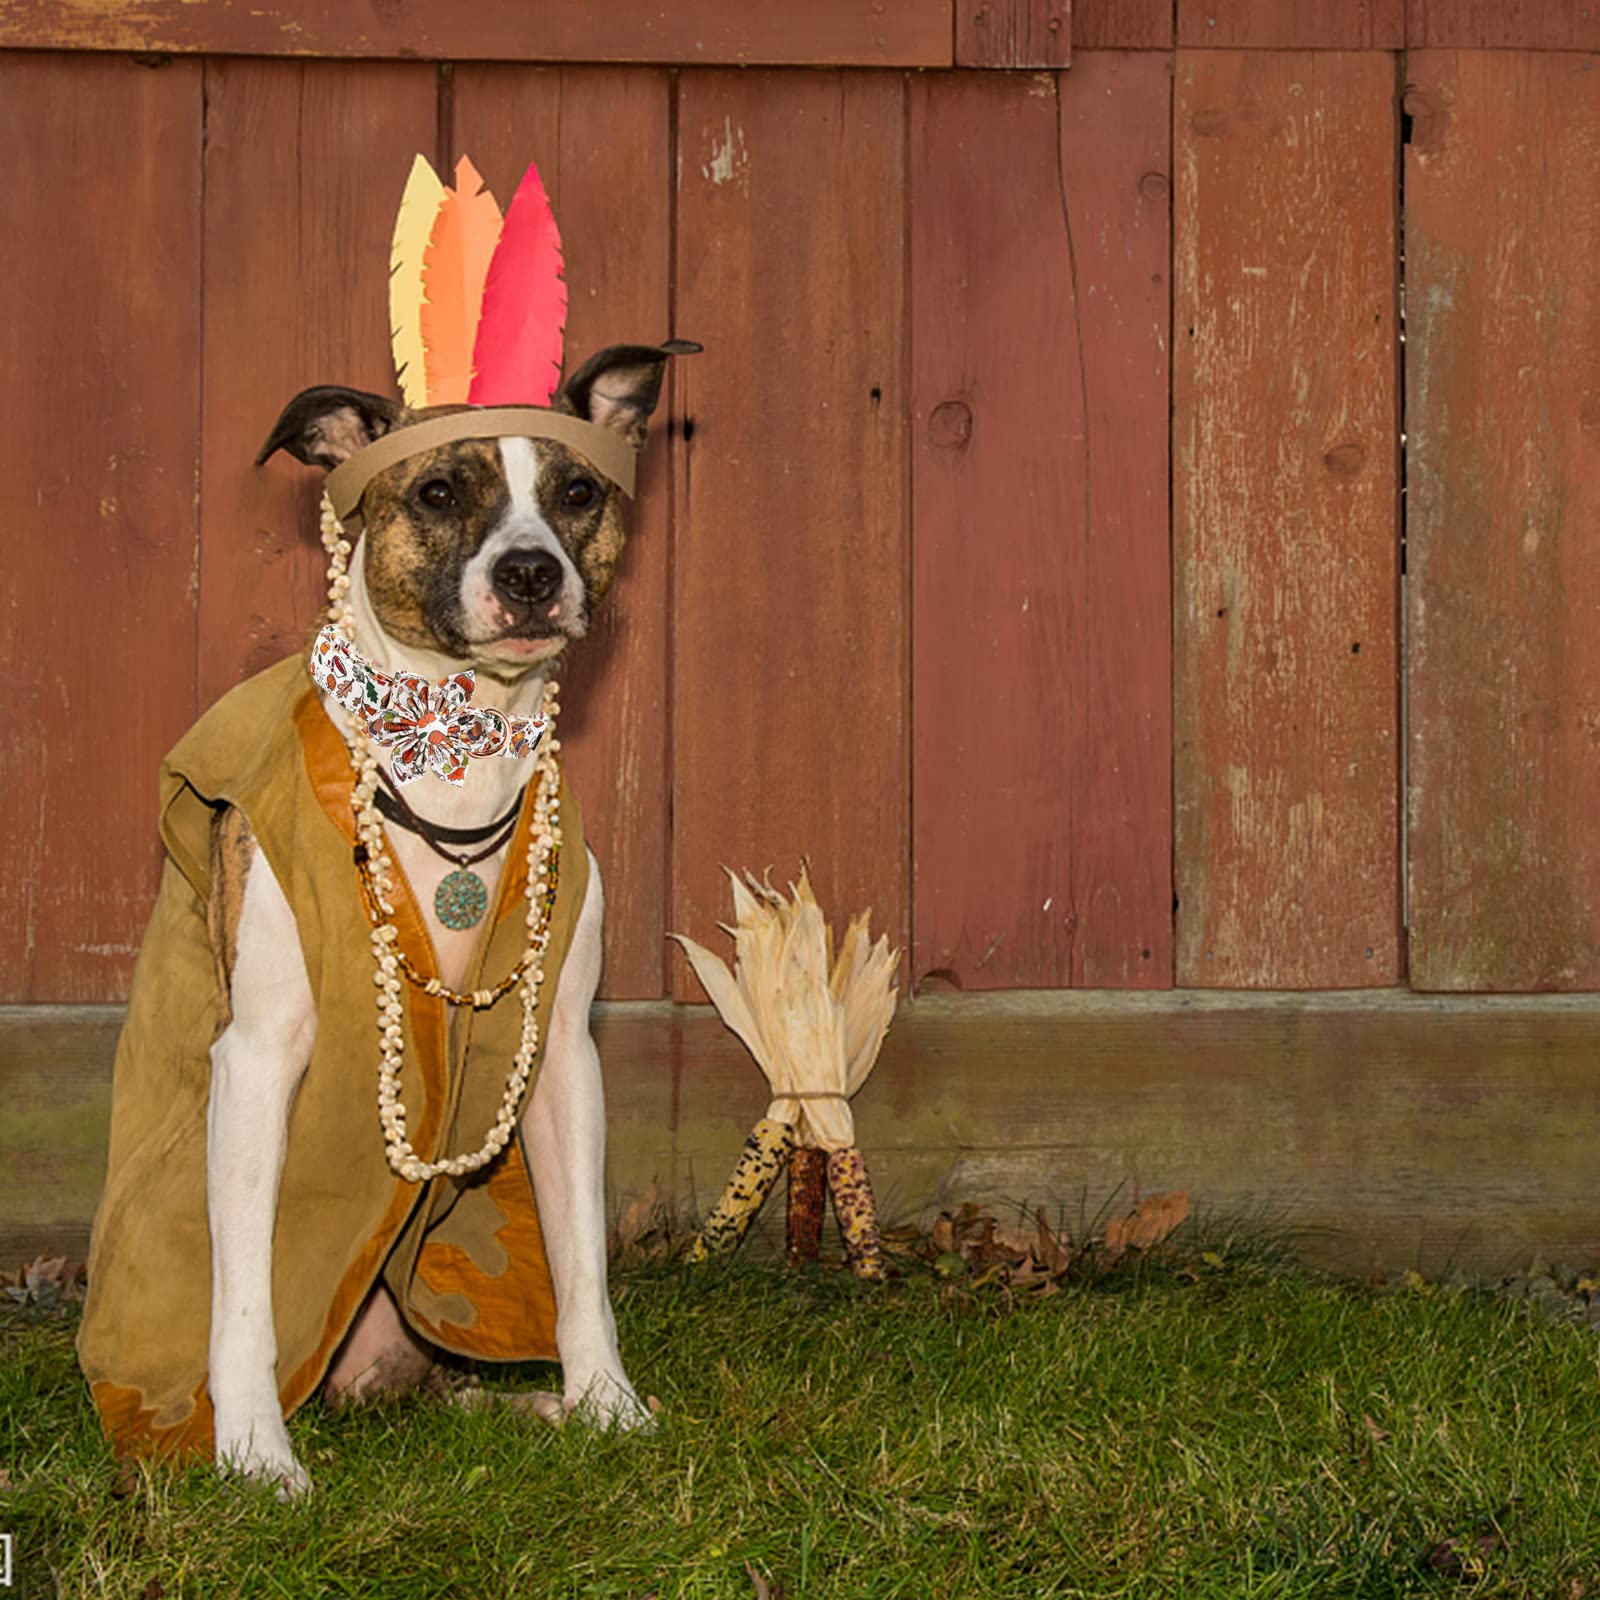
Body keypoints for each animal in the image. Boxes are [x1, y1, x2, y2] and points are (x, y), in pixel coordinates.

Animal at [79, 340, 694, 1497]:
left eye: (576, 493)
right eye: (440, 491)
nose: (532, 572)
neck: (450, 751)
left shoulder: (561, 1059)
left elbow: (580, 1259)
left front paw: (606, 1402)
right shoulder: (257, 1060)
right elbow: (243, 1294)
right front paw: (253, 1453)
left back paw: (535, 1404)